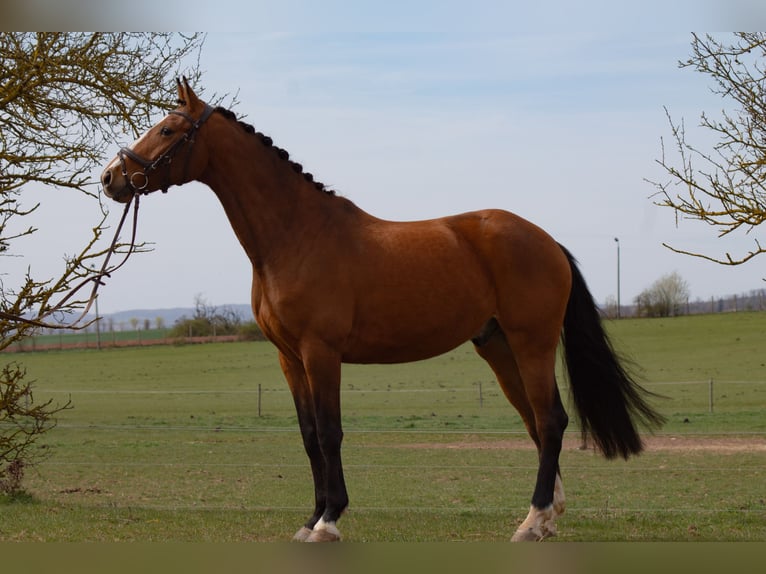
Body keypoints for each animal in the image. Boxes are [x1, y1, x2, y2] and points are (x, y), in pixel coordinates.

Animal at [101, 78, 664, 542]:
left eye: (168, 128)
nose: (111, 178)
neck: (295, 236)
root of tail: (547, 240)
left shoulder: (321, 352)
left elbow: (330, 433)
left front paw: (329, 522)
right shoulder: (289, 358)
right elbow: (309, 437)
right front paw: (310, 519)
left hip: (533, 342)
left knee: (550, 421)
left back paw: (532, 521)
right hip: (499, 347)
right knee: (536, 422)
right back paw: (548, 517)